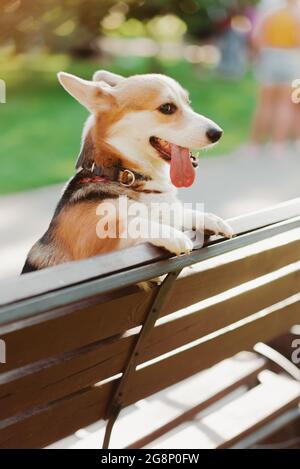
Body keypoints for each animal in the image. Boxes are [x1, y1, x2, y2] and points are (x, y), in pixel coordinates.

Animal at [21, 70, 232, 274]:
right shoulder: (91, 243)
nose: (218, 133)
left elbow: (179, 212)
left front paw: (210, 219)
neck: (123, 176)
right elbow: (131, 222)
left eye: (188, 103)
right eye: (167, 108)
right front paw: (171, 234)